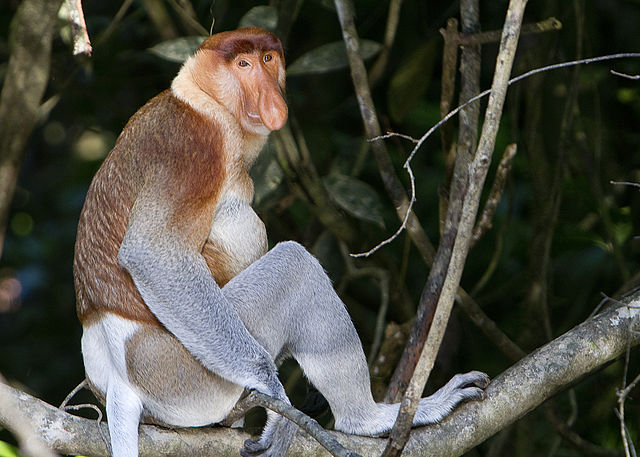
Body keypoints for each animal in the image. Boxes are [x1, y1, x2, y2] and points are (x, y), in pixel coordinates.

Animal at [73, 27, 489, 457]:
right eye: (243, 64)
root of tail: (118, 382)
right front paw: (272, 388)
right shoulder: (193, 146)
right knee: (295, 264)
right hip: (183, 372)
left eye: (268, 59)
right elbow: (151, 252)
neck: (204, 100)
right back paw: (368, 418)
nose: (271, 97)